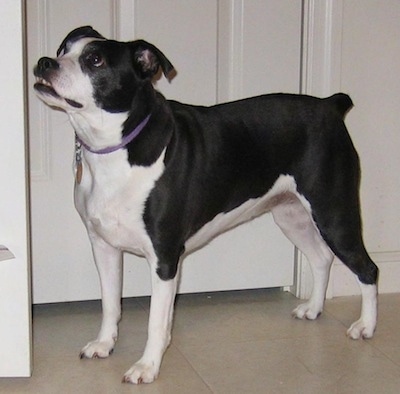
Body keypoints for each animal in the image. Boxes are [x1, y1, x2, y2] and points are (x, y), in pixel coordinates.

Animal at [33, 26, 378, 384]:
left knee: (367, 268)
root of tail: (330, 106)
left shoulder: (165, 258)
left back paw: (365, 326)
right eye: (63, 49)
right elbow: (110, 303)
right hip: (291, 214)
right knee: (321, 258)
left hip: (334, 212)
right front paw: (104, 344)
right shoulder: (103, 246)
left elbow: (157, 321)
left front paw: (147, 366)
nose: (45, 63)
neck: (118, 147)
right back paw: (313, 308)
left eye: (95, 60)